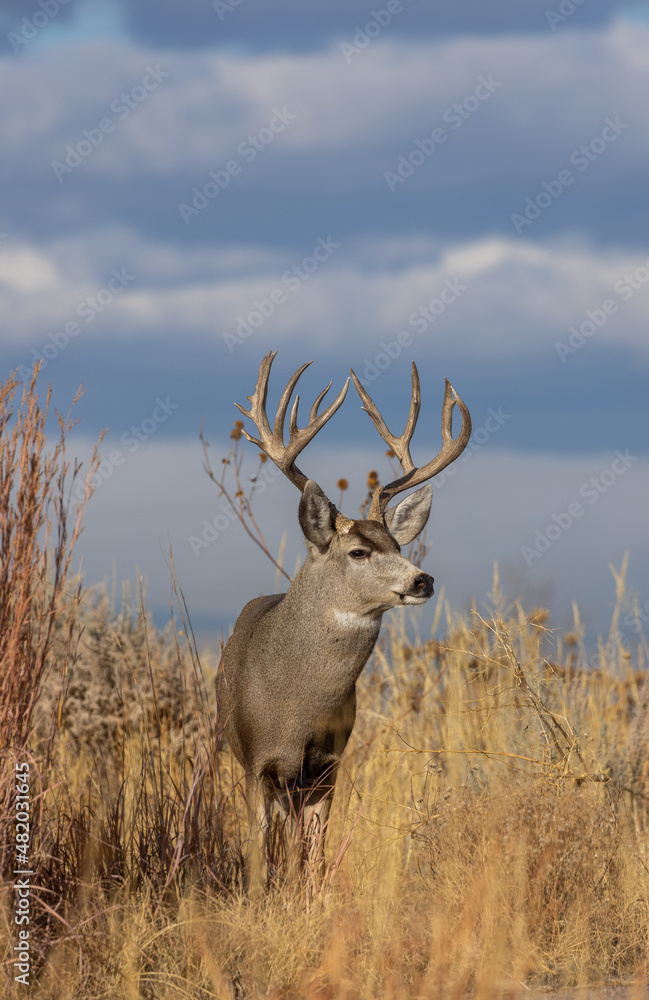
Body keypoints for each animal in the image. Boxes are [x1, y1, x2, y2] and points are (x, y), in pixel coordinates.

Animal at [219, 350, 471, 891]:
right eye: (358, 551)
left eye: (398, 545)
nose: (422, 580)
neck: (294, 707)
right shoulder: (256, 762)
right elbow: (258, 859)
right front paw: (259, 902)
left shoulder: (327, 767)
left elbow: (313, 860)